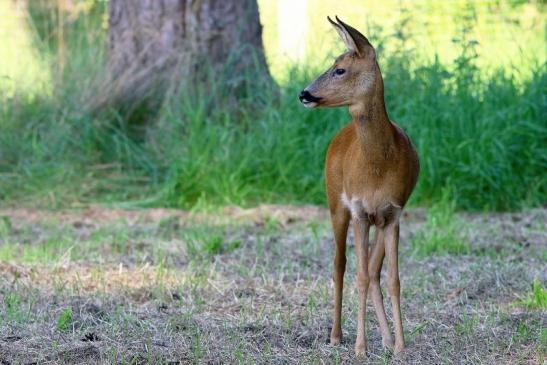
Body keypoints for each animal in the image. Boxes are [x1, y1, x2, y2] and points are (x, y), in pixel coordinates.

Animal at [300, 17, 420, 356]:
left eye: (340, 69)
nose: (304, 93)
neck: (377, 166)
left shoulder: (393, 212)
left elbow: (393, 279)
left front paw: (400, 345)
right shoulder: (358, 210)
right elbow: (361, 276)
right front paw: (360, 347)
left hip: (378, 219)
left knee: (375, 269)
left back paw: (387, 338)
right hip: (335, 203)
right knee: (339, 264)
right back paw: (336, 335)